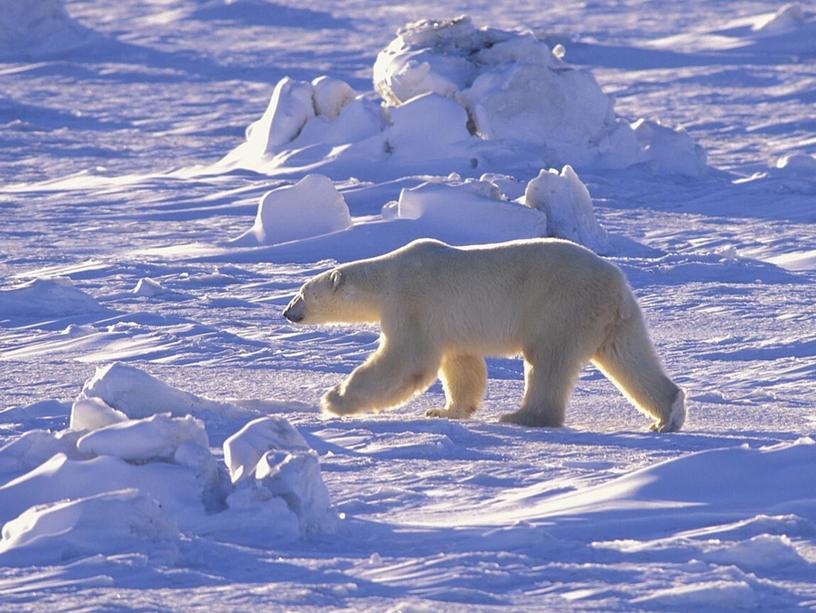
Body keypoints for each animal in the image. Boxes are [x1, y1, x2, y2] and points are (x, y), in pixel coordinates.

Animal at [284, 237, 684, 432]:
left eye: (302, 292)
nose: (287, 312)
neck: (387, 277)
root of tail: (616, 286)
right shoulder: (448, 324)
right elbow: (462, 365)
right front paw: (445, 410)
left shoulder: (413, 303)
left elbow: (407, 360)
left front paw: (334, 399)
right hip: (615, 320)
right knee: (630, 358)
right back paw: (667, 415)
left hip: (561, 307)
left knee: (548, 361)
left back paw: (522, 416)